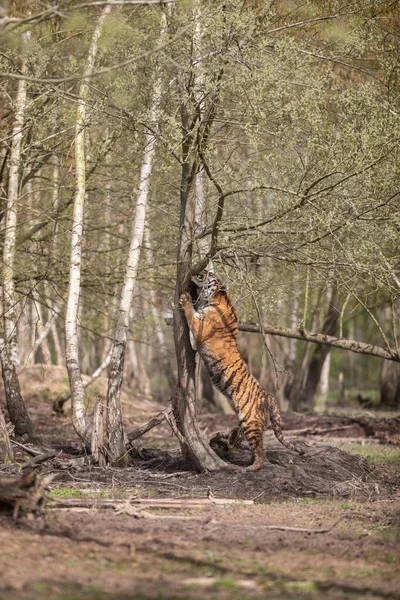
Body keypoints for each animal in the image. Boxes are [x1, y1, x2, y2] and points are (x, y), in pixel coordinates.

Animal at [179, 270, 304, 472]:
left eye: (211, 274)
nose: (203, 270)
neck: (219, 298)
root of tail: (269, 396)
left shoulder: (199, 328)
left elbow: (191, 312)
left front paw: (186, 298)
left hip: (250, 422)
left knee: (261, 448)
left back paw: (253, 467)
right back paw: (247, 460)